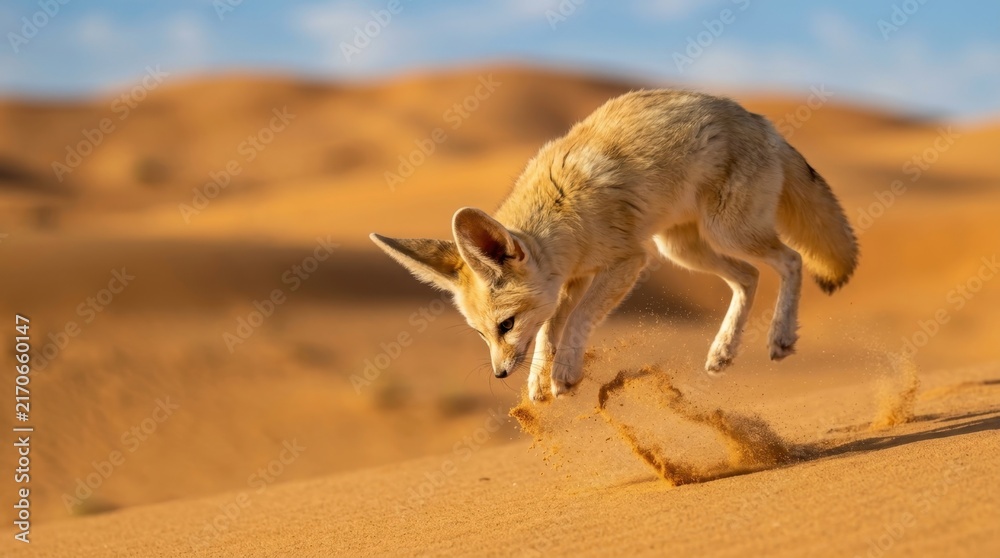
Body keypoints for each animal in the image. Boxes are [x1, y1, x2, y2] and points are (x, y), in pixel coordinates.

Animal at [371, 89, 858, 402]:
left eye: (505, 325)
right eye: (480, 334)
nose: (500, 372)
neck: (563, 212)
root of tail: (761, 120)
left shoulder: (627, 261)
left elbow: (578, 320)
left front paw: (564, 372)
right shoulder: (571, 280)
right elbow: (548, 330)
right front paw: (538, 382)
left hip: (725, 232)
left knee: (791, 259)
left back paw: (780, 335)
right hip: (682, 248)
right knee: (750, 276)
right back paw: (723, 350)